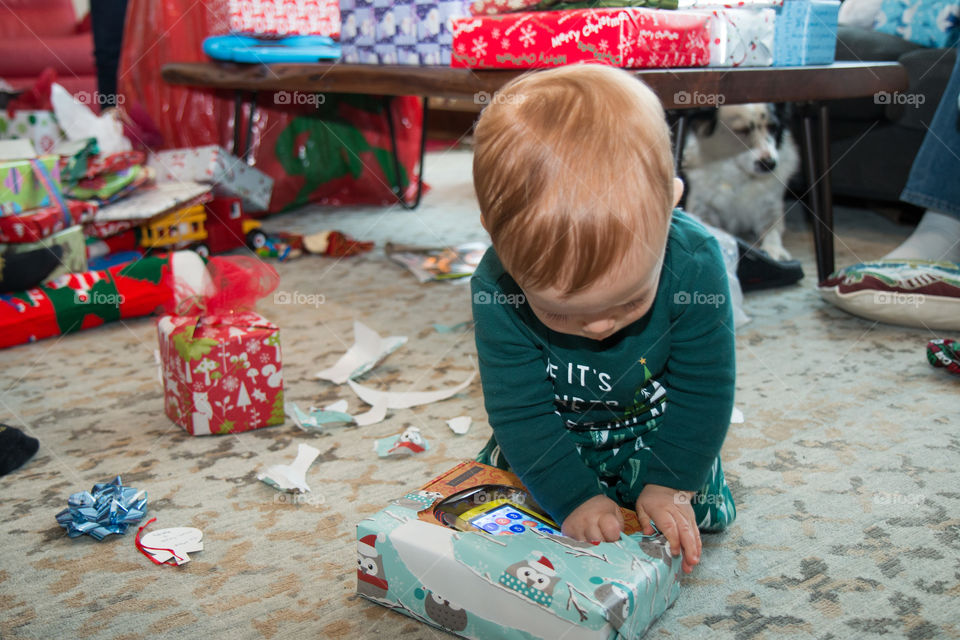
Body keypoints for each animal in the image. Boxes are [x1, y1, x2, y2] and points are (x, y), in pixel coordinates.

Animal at [684, 104, 804, 262]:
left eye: (773, 128)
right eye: (741, 131)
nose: (769, 164)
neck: (739, 176)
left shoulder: (770, 209)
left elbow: (772, 231)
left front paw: (774, 250)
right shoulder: (702, 208)